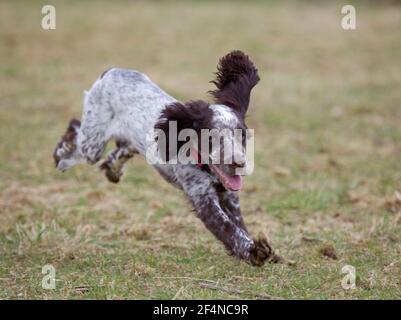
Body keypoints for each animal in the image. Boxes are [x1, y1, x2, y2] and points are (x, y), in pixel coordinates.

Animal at [54, 50, 276, 264]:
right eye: (212, 137)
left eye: (243, 135)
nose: (239, 163)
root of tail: (112, 71)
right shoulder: (202, 196)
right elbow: (227, 228)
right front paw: (254, 252)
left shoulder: (229, 196)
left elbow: (239, 224)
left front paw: (258, 250)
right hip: (93, 142)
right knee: (76, 129)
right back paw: (60, 156)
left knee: (121, 149)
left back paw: (113, 170)